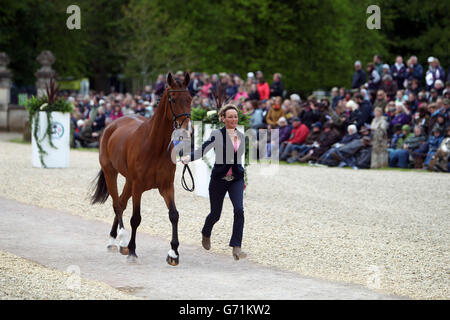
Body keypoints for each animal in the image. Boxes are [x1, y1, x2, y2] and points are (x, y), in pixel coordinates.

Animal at [90, 72, 191, 264]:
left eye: (190, 99)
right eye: (173, 99)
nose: (185, 131)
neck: (155, 146)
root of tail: (111, 125)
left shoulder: (166, 187)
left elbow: (174, 215)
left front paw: (173, 253)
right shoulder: (138, 187)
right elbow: (136, 218)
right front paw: (132, 251)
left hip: (129, 181)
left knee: (121, 203)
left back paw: (114, 239)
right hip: (111, 173)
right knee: (117, 205)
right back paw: (122, 241)